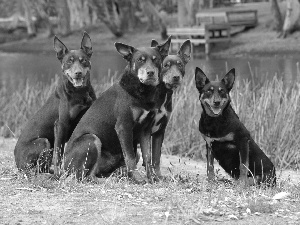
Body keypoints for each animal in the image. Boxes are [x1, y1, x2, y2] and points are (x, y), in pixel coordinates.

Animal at [13, 32, 96, 176]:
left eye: (83, 60)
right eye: (69, 61)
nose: (78, 73)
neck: (80, 92)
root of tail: (17, 162)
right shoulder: (60, 125)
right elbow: (59, 153)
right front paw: (59, 173)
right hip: (44, 141)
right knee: (35, 168)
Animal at [61, 37, 171, 184]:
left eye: (156, 60)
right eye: (140, 60)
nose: (150, 73)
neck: (141, 92)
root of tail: (63, 167)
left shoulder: (145, 130)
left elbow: (148, 157)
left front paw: (152, 177)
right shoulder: (123, 127)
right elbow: (130, 156)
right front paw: (137, 178)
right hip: (92, 139)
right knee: (82, 175)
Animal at [132, 39, 191, 179]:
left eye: (180, 65)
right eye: (166, 66)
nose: (176, 77)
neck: (162, 94)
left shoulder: (160, 130)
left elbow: (156, 157)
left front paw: (158, 176)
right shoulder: (147, 129)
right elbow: (149, 156)